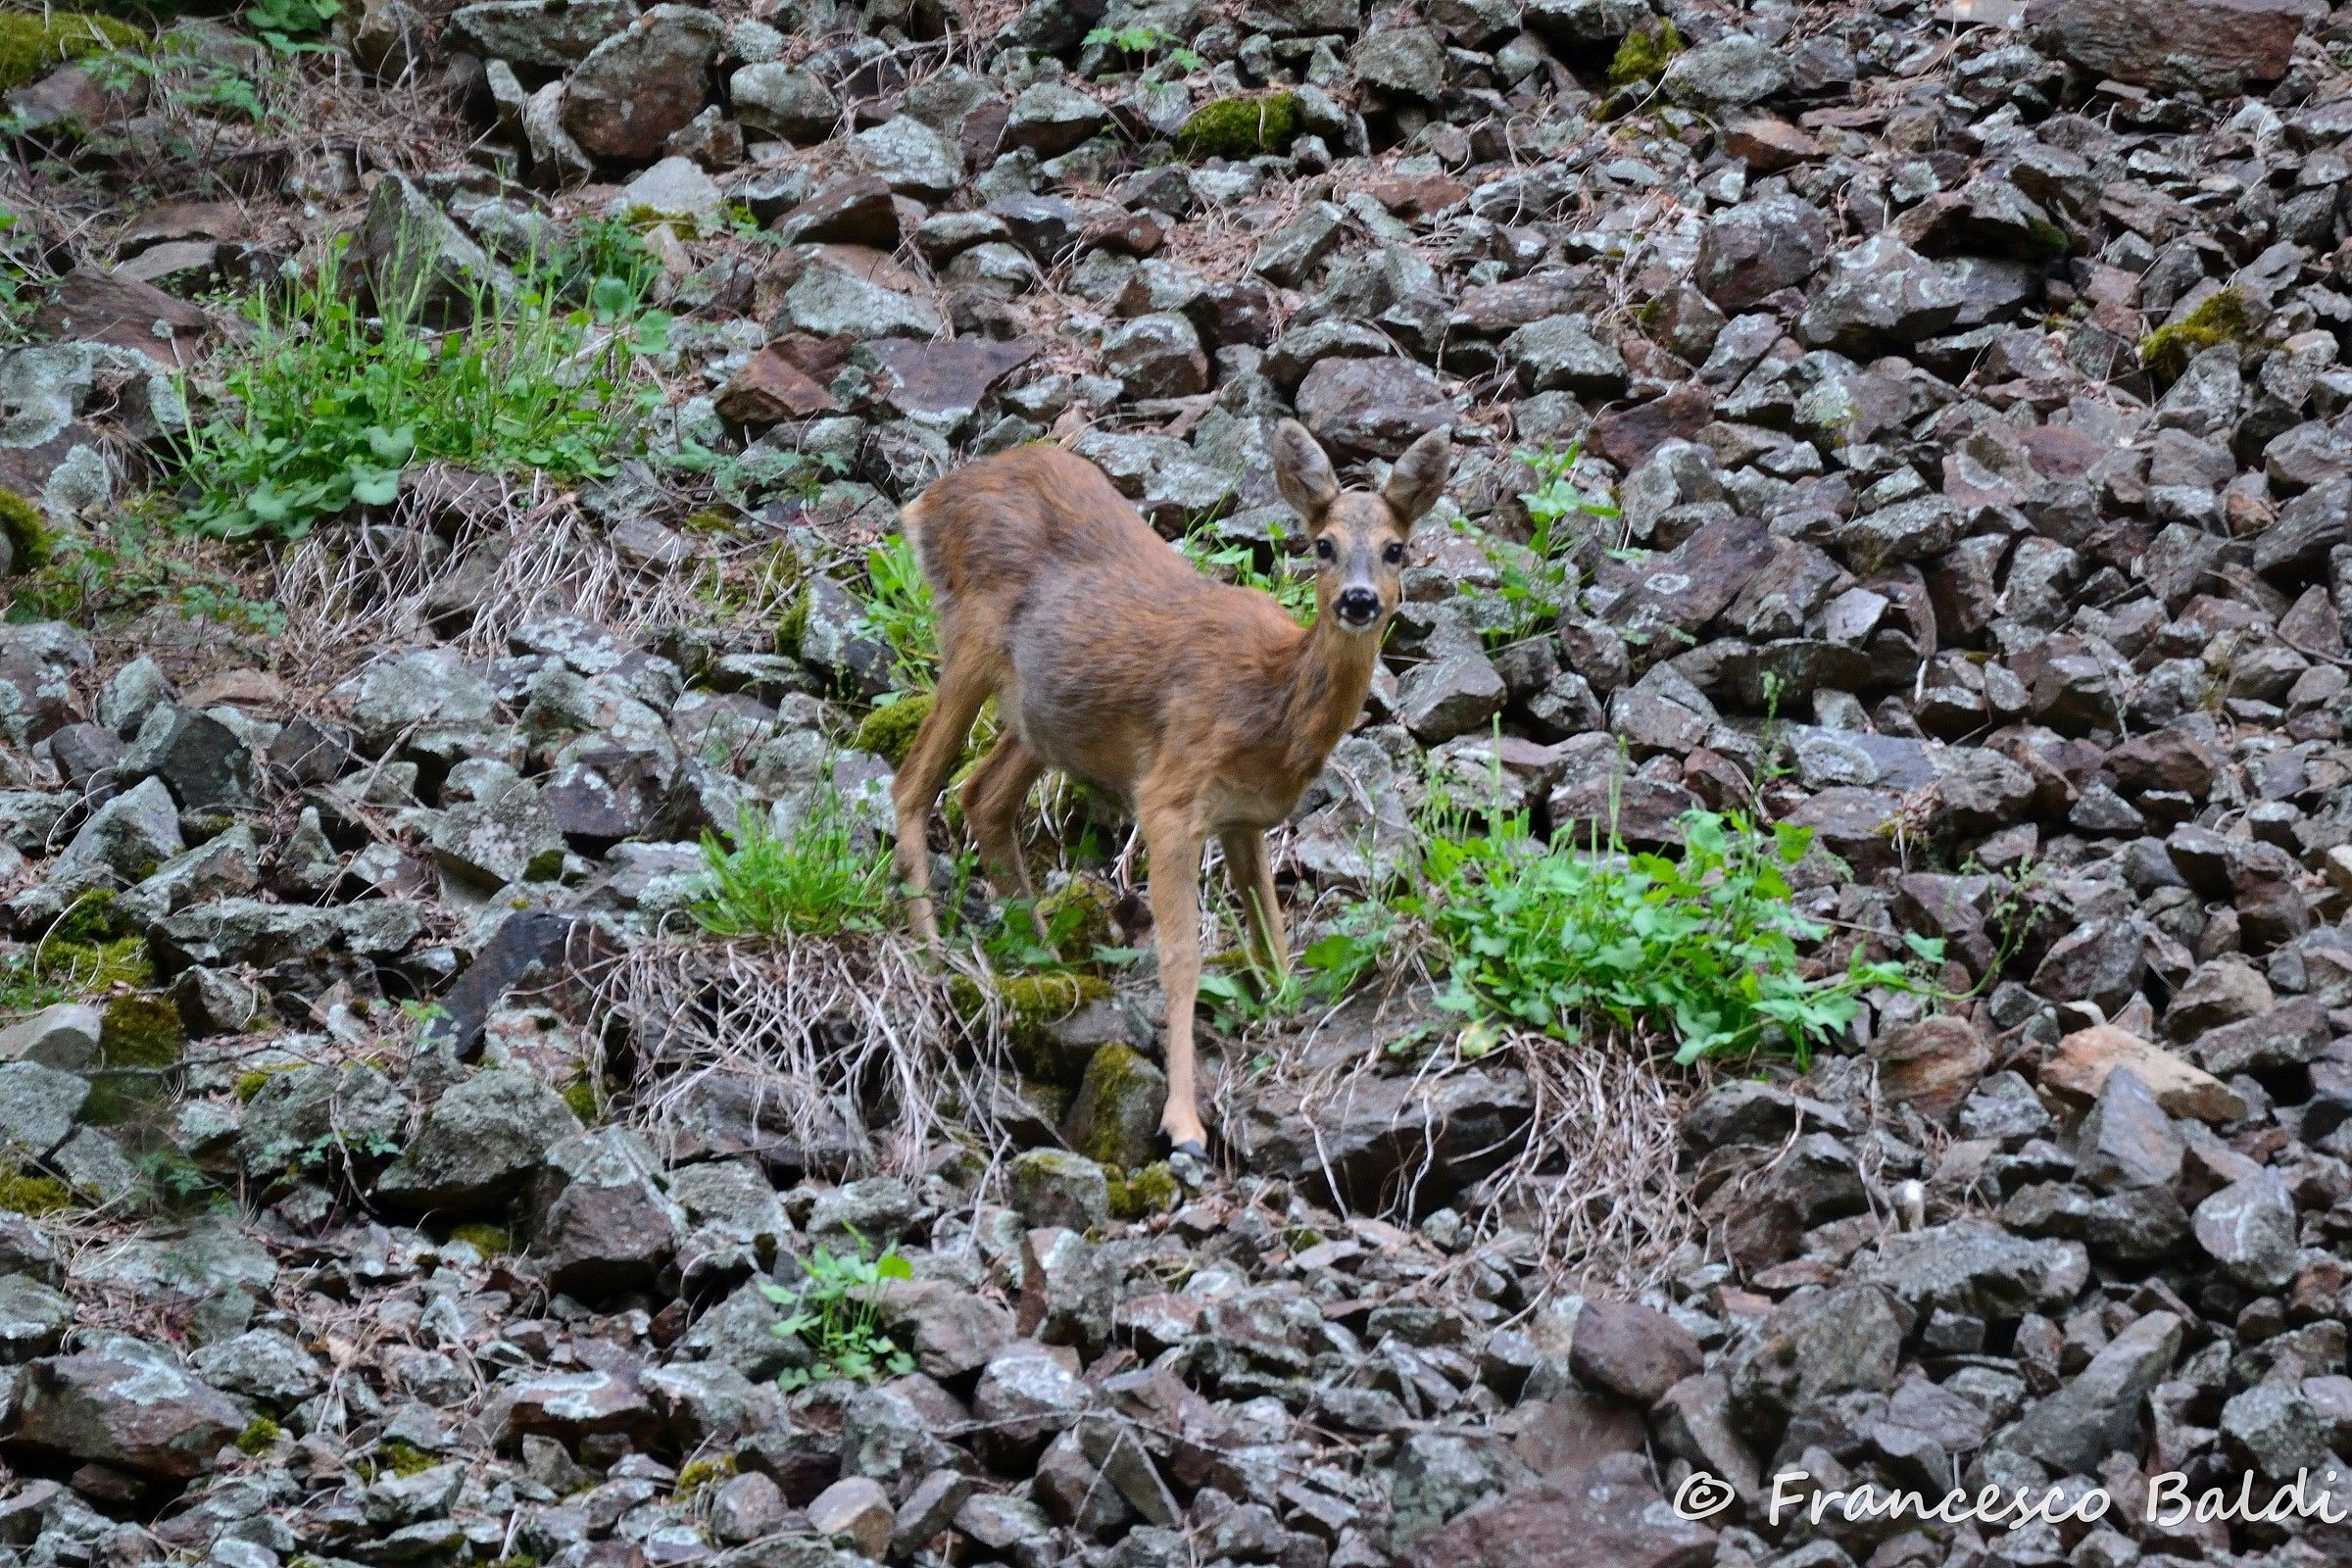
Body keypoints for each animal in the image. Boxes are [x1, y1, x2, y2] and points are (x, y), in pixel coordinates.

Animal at [888, 420, 1452, 1158]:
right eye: (1322, 544)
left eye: (1396, 549)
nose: (1358, 600)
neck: (1272, 707)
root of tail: (930, 499)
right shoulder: (1169, 795)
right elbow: (1182, 957)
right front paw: (1183, 1121)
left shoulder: (1244, 818)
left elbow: (1270, 929)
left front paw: (1290, 1015)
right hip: (972, 639)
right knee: (912, 782)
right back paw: (933, 959)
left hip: (1044, 716)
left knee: (981, 795)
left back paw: (1046, 968)